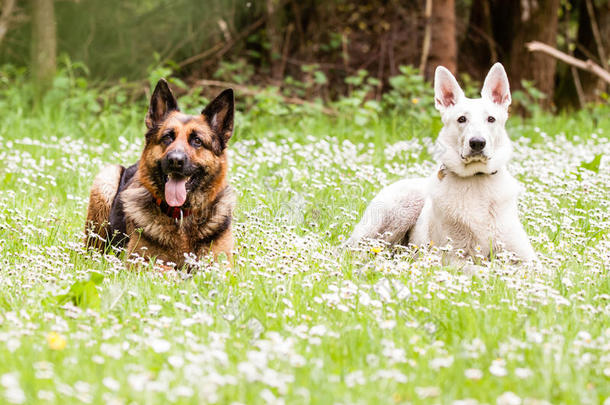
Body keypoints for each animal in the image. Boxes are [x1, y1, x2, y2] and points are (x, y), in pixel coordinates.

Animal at [85, 79, 235, 268]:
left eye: (197, 141)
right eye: (167, 137)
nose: (175, 160)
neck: (181, 215)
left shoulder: (222, 266)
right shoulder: (138, 261)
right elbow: (167, 270)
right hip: (106, 180)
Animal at [346, 61, 532, 260]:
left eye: (491, 119)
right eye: (461, 119)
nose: (477, 143)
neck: (476, 178)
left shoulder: (526, 257)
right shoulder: (453, 256)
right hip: (400, 210)